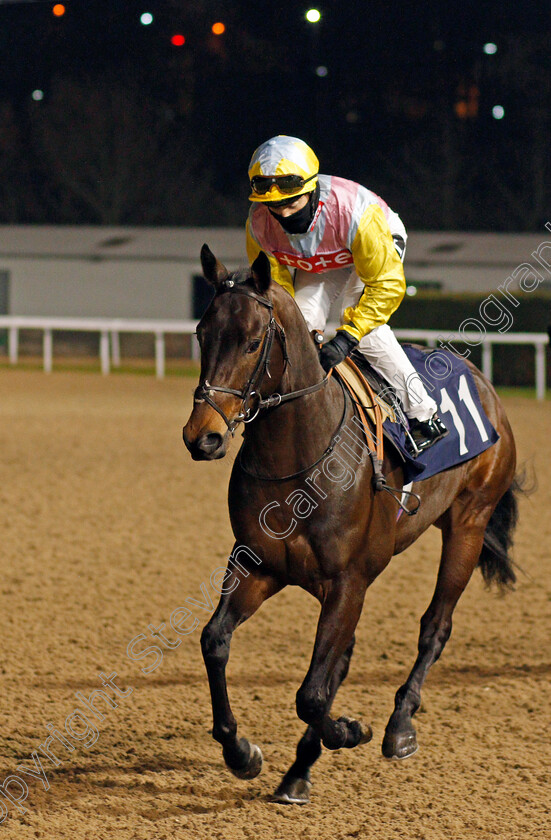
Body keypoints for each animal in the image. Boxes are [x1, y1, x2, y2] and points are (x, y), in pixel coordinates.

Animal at [183, 244, 520, 808]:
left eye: (252, 341)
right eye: (201, 334)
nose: (201, 436)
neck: (300, 458)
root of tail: (481, 381)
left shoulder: (348, 581)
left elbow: (312, 692)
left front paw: (349, 730)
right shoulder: (258, 565)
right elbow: (216, 642)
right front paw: (242, 751)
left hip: (469, 525)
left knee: (435, 627)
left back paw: (398, 726)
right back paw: (302, 767)